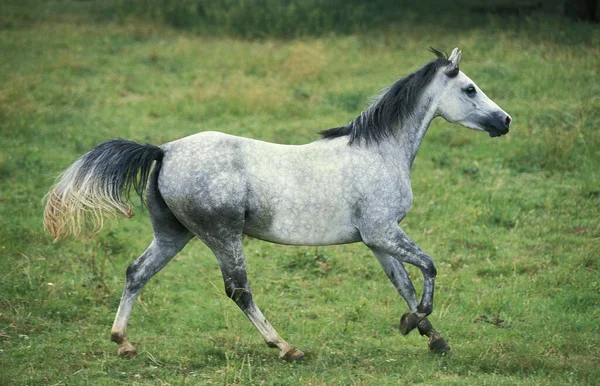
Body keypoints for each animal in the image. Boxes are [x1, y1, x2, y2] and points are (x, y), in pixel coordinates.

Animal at [43, 48, 510, 362]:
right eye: (469, 88)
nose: (505, 121)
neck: (380, 152)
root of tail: (165, 150)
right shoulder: (383, 232)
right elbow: (428, 268)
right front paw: (417, 324)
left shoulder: (377, 240)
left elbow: (405, 284)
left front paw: (433, 337)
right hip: (222, 235)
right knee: (239, 290)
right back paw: (286, 347)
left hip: (174, 235)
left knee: (137, 272)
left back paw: (124, 343)